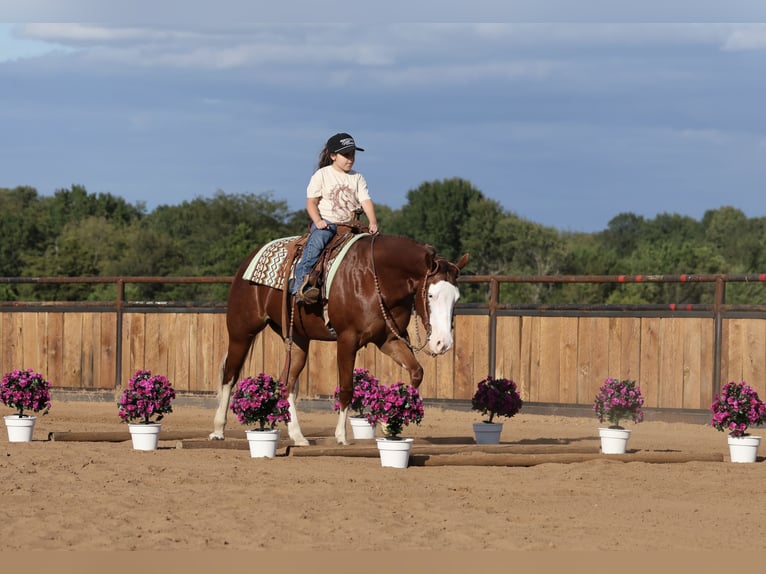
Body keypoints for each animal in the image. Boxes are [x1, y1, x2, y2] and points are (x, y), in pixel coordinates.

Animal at [209, 233, 469, 445]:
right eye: (431, 295)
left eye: (456, 297)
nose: (443, 343)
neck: (375, 277)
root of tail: (248, 261)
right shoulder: (347, 340)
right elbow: (346, 388)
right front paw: (341, 436)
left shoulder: (389, 340)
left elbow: (416, 373)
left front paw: (388, 424)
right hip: (241, 332)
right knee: (230, 375)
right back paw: (218, 430)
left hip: (298, 340)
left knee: (287, 382)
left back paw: (298, 436)